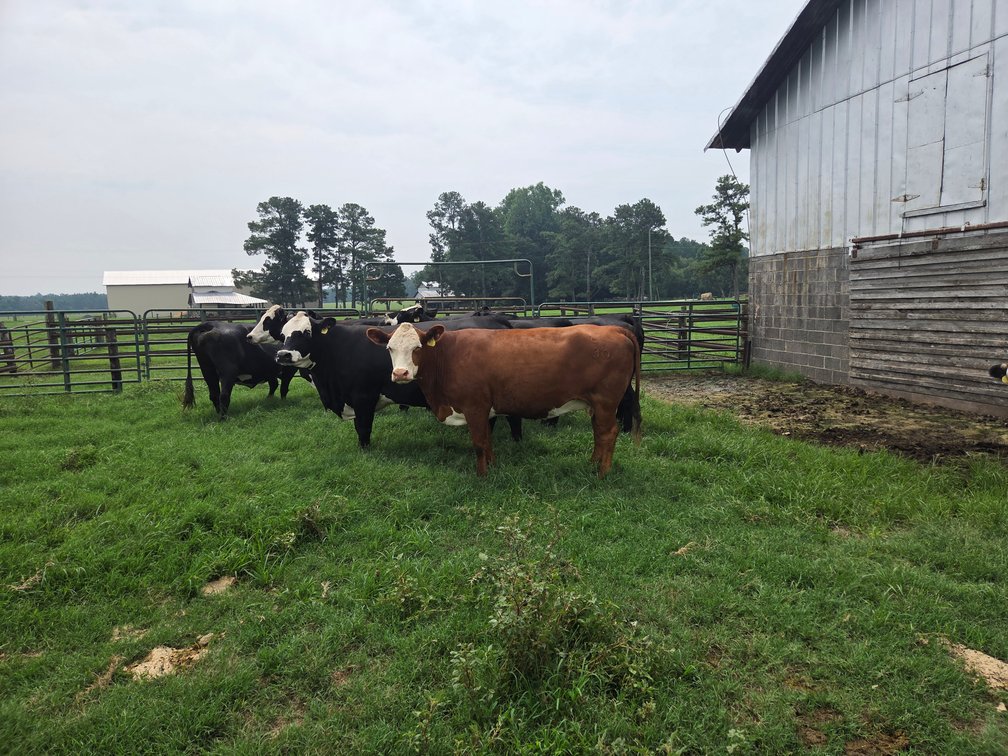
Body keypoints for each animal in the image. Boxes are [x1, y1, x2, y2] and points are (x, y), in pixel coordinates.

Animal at [274, 311, 518, 447]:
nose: (283, 355)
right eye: (283, 334)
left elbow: (363, 428)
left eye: (306, 332)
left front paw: (365, 451)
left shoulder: (363, 397)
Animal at [366, 323, 642, 477]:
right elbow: (488, 441)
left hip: (606, 401)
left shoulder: (474, 406)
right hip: (597, 404)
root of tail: (613, 329)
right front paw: (493, 466)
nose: (400, 373)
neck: (448, 355)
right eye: (390, 348)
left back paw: (602, 473)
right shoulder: (484, 409)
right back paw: (593, 463)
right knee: (599, 433)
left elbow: (478, 443)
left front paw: (482, 476)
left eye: (418, 348)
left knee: (608, 433)